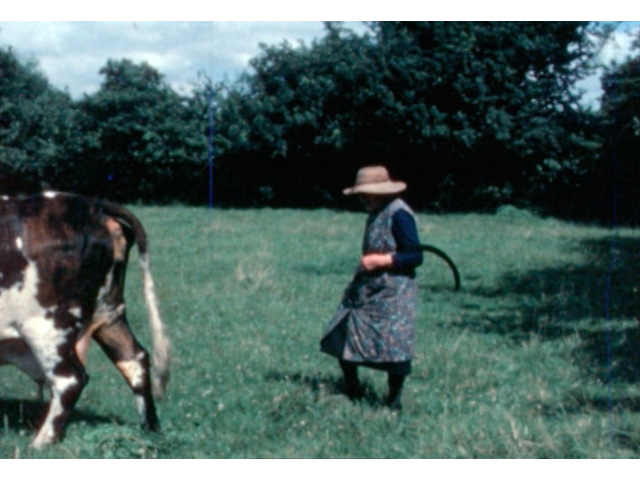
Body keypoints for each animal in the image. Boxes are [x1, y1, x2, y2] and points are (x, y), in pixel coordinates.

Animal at [0, 191, 170, 448]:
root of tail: (93, 205)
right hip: (110, 313)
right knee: (135, 360)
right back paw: (149, 430)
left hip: (46, 327)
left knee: (71, 379)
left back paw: (40, 443)